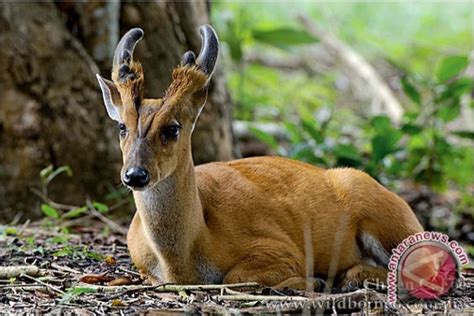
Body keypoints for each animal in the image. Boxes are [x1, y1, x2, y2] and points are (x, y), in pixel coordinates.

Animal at [96, 25, 426, 292]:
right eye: (122, 126)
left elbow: (235, 277)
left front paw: (311, 281)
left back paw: (351, 277)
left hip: (387, 214)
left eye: (173, 128)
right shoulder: (142, 266)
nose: (135, 174)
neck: (185, 259)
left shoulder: (281, 249)